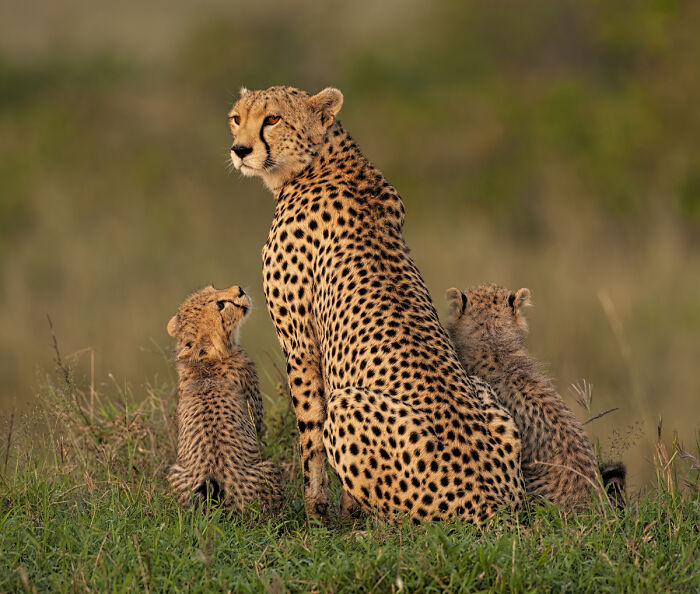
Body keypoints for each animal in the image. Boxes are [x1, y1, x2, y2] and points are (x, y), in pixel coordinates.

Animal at [167, 285, 282, 512]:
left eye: (212, 288)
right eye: (220, 305)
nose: (239, 290)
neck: (205, 362)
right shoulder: (256, 417)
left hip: (173, 472)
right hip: (269, 469)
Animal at [227, 85, 525, 523]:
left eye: (273, 119)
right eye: (236, 117)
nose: (240, 150)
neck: (321, 161)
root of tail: (497, 504)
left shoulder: (300, 343)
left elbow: (310, 431)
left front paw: (315, 512)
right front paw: (340, 510)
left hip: (350, 405)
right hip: (487, 394)